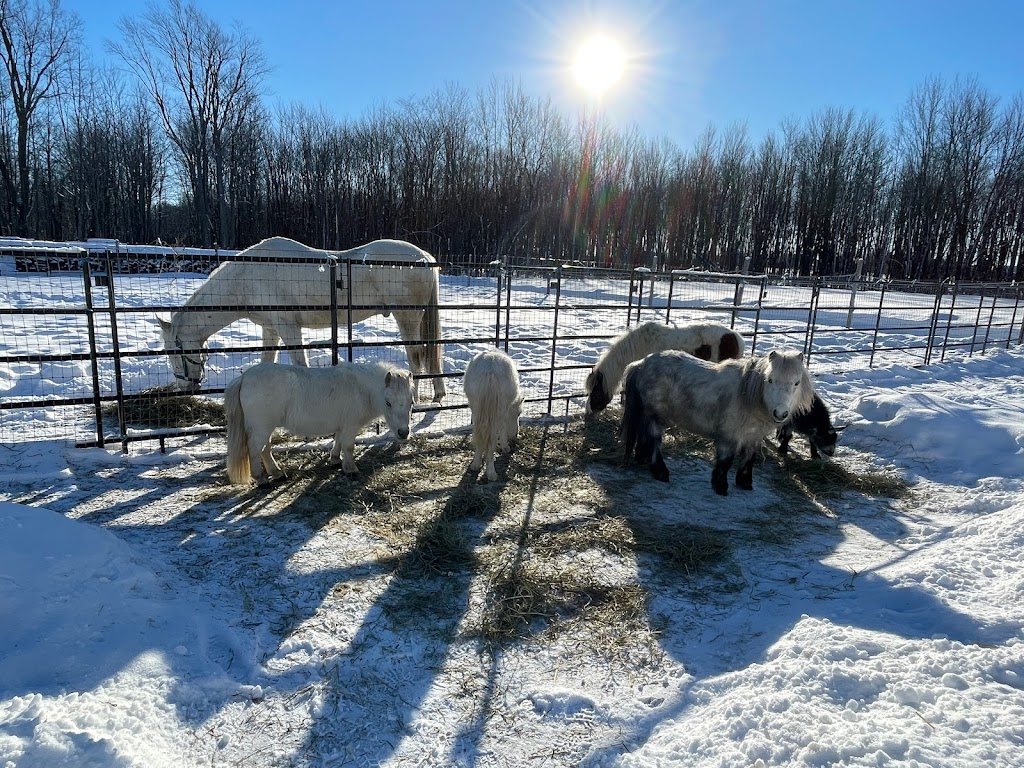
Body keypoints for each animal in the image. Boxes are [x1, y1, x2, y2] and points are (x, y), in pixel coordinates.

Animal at [158, 234, 444, 403]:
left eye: (174, 351)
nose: (184, 389)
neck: (247, 277)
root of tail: (425, 258)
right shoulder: (271, 330)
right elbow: (266, 361)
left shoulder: (289, 328)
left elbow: (300, 364)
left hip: (407, 317)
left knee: (416, 356)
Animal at [226, 362, 413, 487]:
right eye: (388, 403)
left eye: (411, 402)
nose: (403, 433)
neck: (361, 389)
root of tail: (244, 377)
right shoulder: (350, 426)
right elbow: (348, 447)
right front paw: (351, 469)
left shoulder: (342, 426)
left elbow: (338, 443)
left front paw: (335, 460)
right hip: (261, 427)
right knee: (255, 450)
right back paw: (262, 479)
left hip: (266, 428)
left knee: (265, 449)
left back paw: (277, 473)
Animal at [466, 348, 524, 481]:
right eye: (518, 413)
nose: (515, 435)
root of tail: (490, 369)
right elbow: (502, 430)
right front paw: (505, 447)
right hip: (498, 413)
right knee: (491, 440)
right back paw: (491, 474)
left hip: (477, 410)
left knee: (479, 435)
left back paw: (475, 465)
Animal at [618, 350, 811, 495]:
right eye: (769, 380)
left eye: (796, 383)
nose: (780, 413)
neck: (746, 395)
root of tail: (641, 364)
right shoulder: (729, 436)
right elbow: (725, 462)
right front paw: (720, 487)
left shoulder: (753, 437)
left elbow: (749, 459)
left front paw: (745, 483)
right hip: (655, 417)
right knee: (654, 442)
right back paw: (661, 472)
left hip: (648, 414)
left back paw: (642, 459)